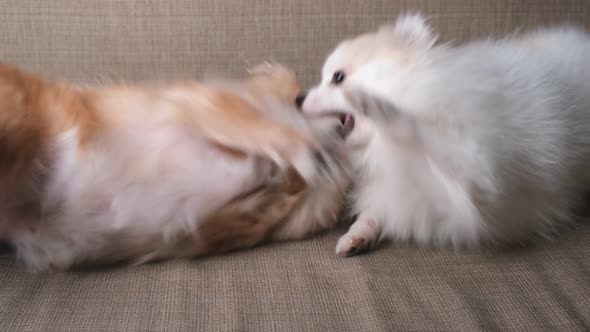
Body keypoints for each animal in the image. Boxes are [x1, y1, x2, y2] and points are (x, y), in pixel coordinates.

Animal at [302, 13, 590, 255]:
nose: (299, 98)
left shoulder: (483, 188)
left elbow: (438, 150)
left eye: (338, 77)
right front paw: (357, 235)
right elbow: (379, 209)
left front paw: (384, 111)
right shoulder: (424, 197)